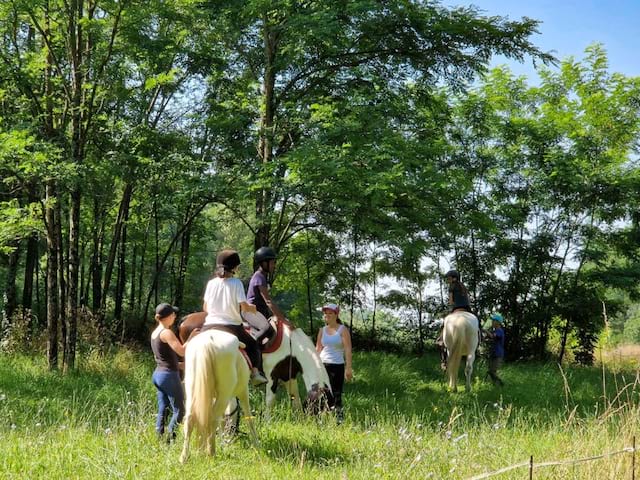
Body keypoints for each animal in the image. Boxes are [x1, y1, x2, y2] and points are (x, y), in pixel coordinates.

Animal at [179, 330, 256, 462]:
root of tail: (207, 342)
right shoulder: (243, 391)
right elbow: (248, 416)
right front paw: (256, 443)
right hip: (224, 394)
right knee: (212, 419)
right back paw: (211, 453)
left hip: (191, 390)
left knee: (190, 419)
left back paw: (184, 457)